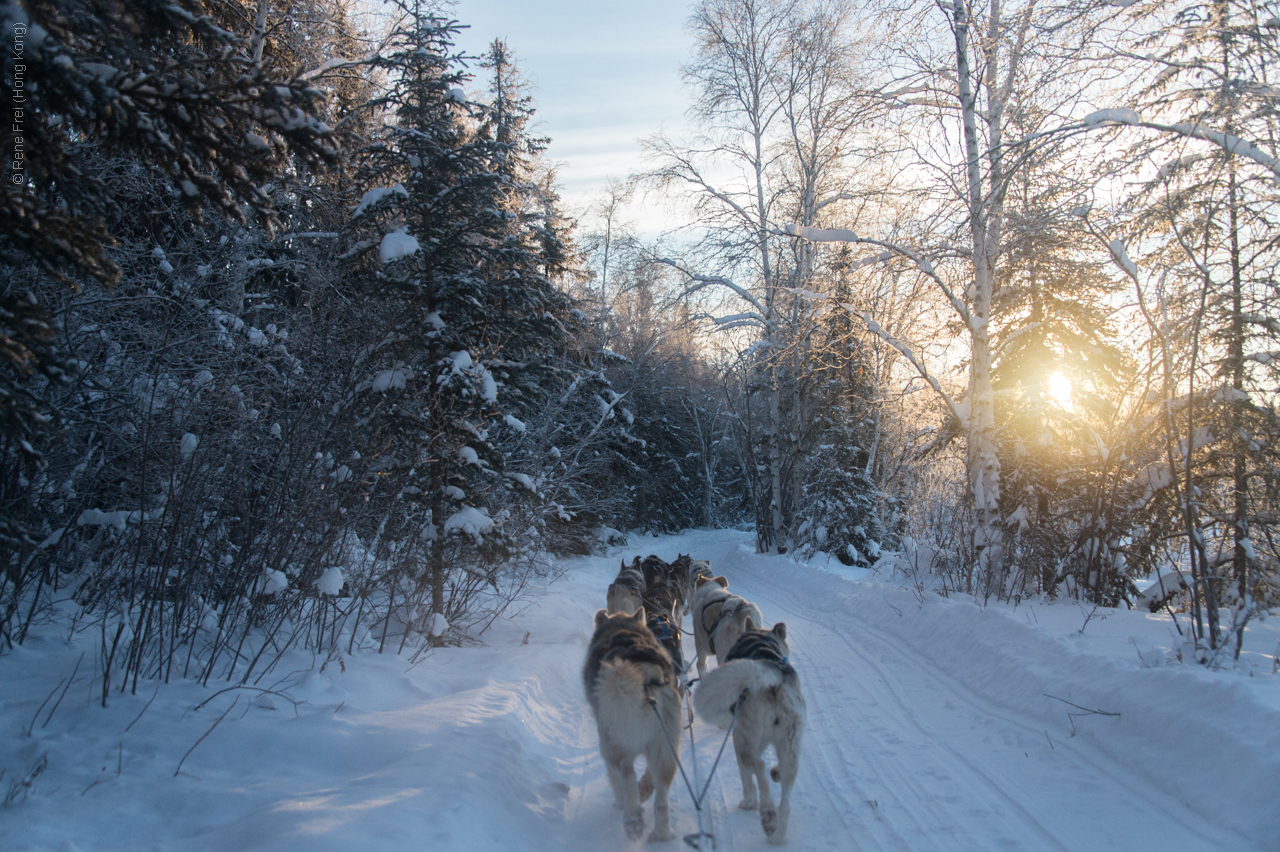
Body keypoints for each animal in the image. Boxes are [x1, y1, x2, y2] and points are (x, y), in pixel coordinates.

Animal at [583, 606, 680, 839]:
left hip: (612, 745)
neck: (622, 628)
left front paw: (621, 803)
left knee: (626, 774)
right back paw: (662, 834)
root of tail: (646, 677)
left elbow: (617, 780)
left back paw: (632, 819)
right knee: (661, 799)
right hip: (666, 751)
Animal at [696, 616, 803, 844]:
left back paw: (767, 812)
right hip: (790, 750)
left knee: (759, 766)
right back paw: (777, 834)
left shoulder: (739, 740)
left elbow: (746, 778)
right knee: (786, 803)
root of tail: (772, 677)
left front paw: (749, 801)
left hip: (744, 741)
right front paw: (775, 773)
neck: (761, 642)